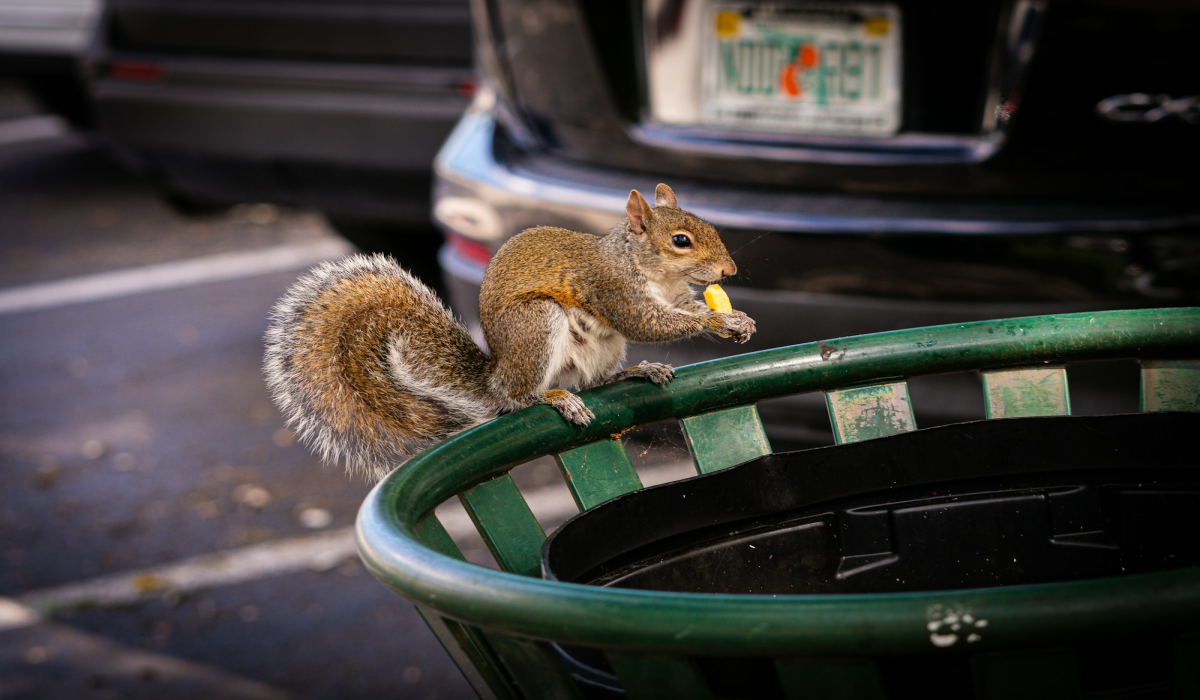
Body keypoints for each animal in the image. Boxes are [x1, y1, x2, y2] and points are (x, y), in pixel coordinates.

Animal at [263, 183, 756, 481]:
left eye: (709, 227)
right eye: (680, 241)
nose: (730, 271)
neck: (650, 269)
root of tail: (494, 373)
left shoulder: (674, 295)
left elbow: (683, 309)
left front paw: (739, 321)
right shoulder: (613, 288)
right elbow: (649, 321)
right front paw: (717, 320)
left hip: (602, 348)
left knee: (596, 379)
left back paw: (637, 372)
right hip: (536, 323)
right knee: (517, 395)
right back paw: (551, 399)